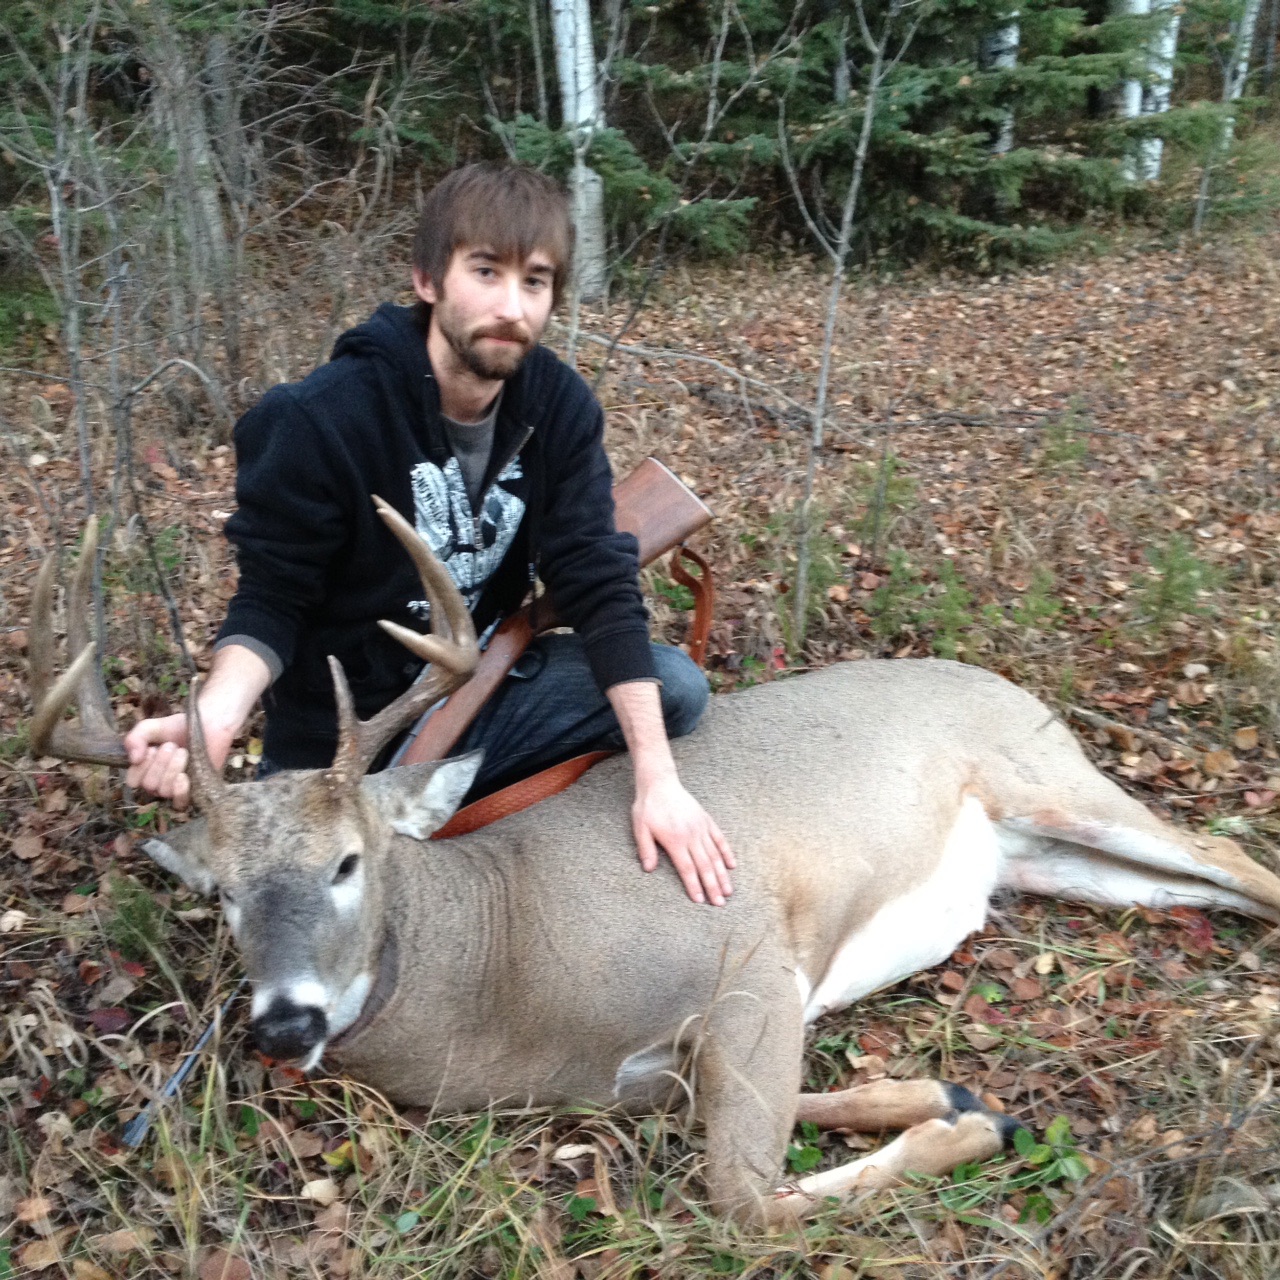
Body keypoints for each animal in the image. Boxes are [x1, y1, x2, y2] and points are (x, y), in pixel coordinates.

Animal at [29, 505, 1280, 1228]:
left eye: (349, 860)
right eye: (224, 893)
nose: (283, 1022)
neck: (507, 962)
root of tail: (1001, 678)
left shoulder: (748, 964)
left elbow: (743, 1196)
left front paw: (972, 1125)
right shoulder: (647, 1069)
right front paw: (959, 1094)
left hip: (1045, 779)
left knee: (1224, 846)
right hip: (1046, 862)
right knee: (1198, 877)